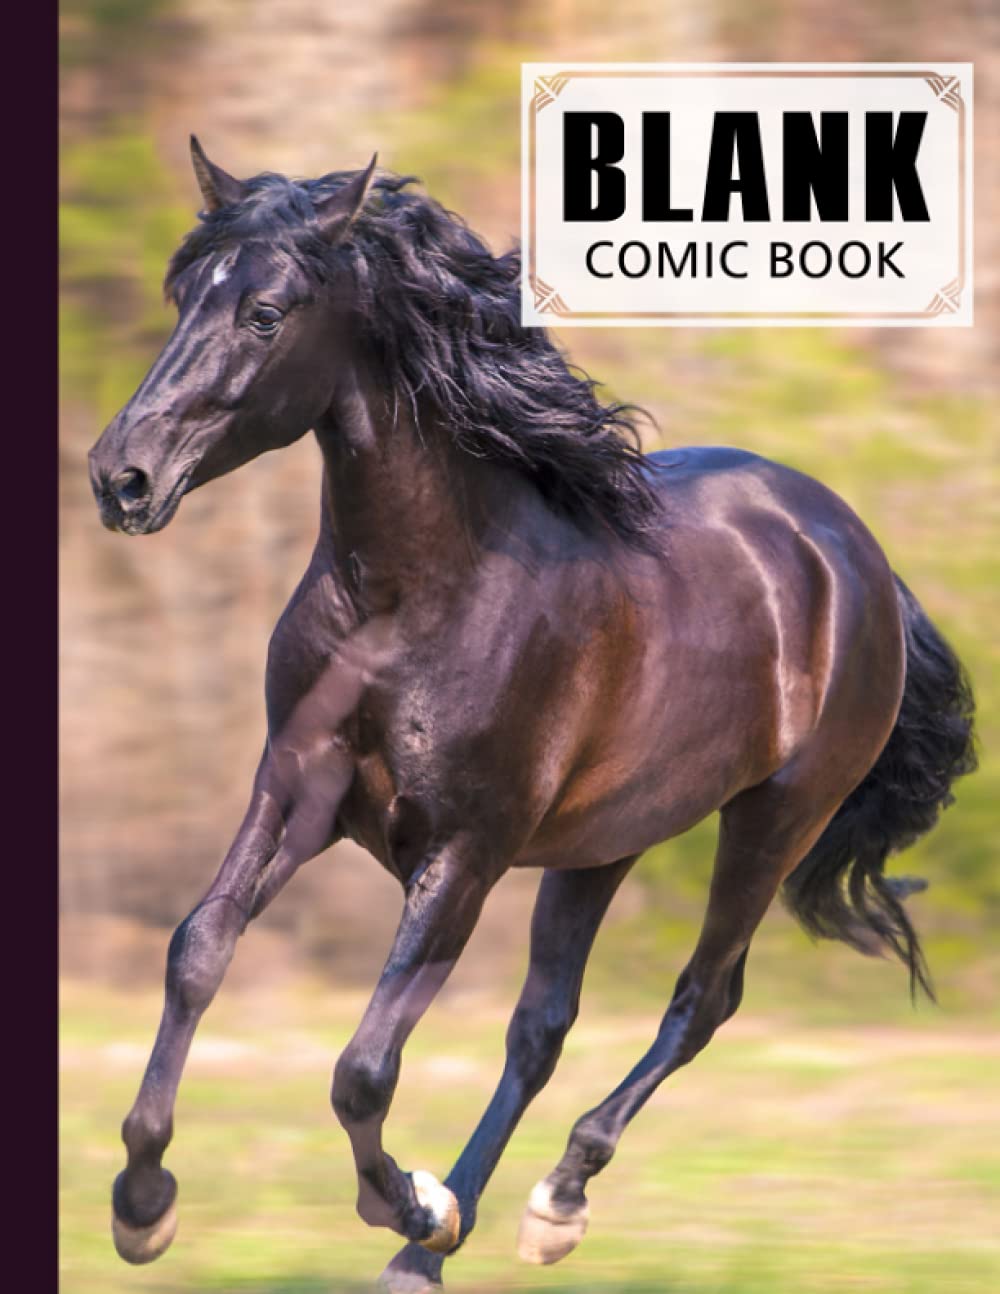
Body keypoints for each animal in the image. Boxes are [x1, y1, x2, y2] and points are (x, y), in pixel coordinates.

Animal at [87, 138, 977, 1291]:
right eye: (184, 292)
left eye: (266, 312)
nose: (121, 477)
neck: (413, 595)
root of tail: (854, 549)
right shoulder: (297, 788)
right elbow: (198, 950)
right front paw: (143, 1203)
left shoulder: (465, 848)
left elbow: (363, 1066)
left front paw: (406, 1200)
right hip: (605, 840)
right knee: (542, 1026)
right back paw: (447, 1237)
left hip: (775, 818)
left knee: (702, 999)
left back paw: (543, 1204)